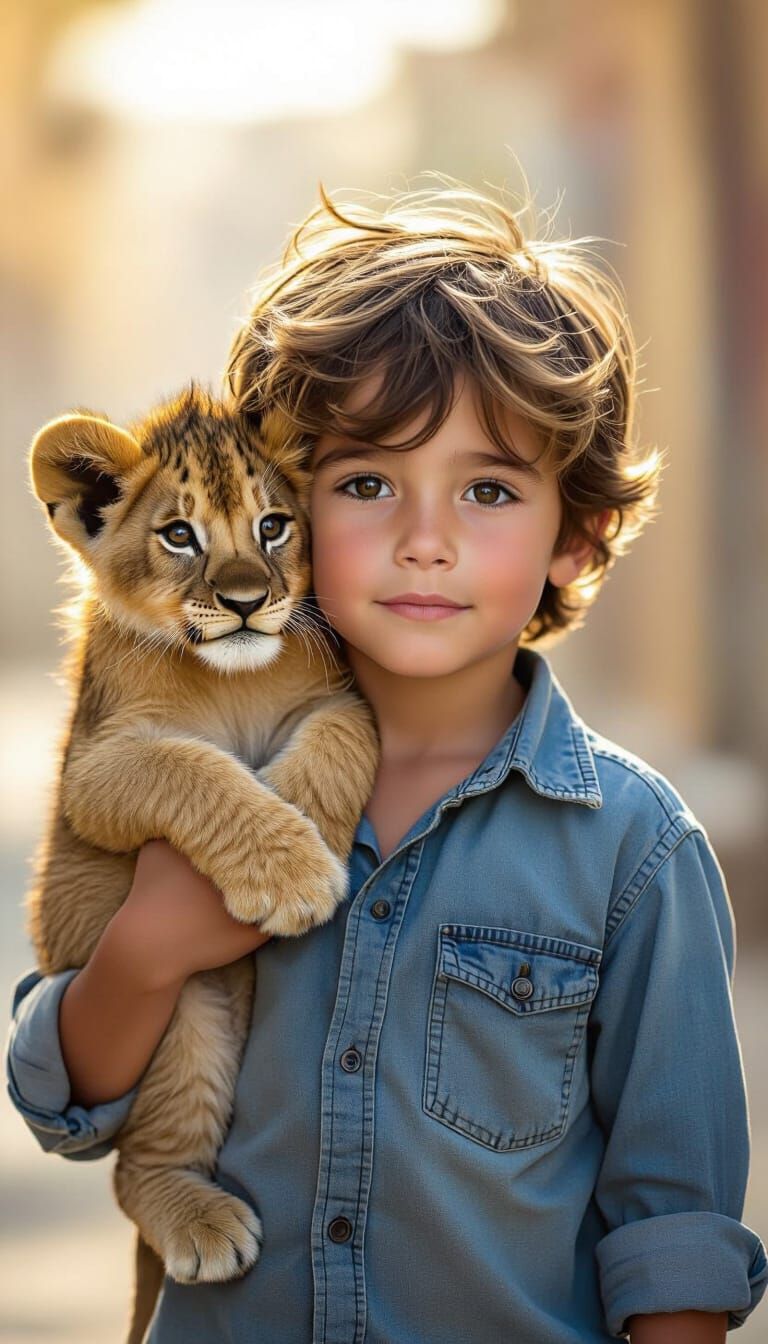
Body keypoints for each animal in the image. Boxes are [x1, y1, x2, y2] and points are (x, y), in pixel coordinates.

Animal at [26, 383, 379, 1343]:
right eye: (179, 534)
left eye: (274, 525)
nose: (250, 600)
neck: (234, 678)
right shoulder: (96, 770)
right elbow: (193, 767)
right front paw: (295, 875)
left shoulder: (343, 699)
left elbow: (339, 742)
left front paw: (307, 831)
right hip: (181, 1020)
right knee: (130, 1170)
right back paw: (199, 1221)